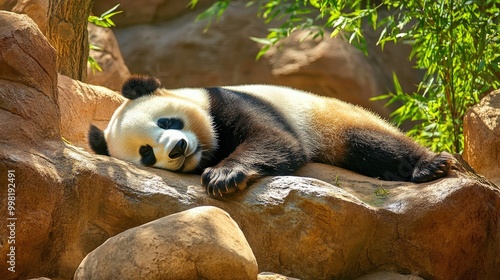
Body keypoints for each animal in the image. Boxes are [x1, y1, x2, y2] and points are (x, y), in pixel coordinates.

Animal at [88, 75, 452, 196]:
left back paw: (430, 165)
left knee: (371, 141)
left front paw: (223, 177)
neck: (208, 147)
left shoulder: (229, 100)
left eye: (165, 122)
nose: (177, 148)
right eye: (146, 152)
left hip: (332, 120)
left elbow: (274, 138)